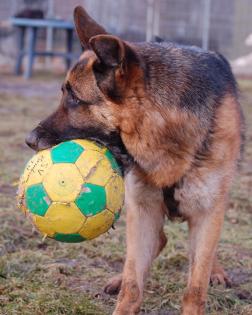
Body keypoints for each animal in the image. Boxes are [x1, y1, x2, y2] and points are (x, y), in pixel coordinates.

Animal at [26, 5, 244, 315]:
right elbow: (132, 283)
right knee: (150, 247)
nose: (29, 139)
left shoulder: (207, 211)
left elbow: (195, 286)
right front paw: (124, 298)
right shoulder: (143, 209)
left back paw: (216, 270)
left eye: (75, 99)